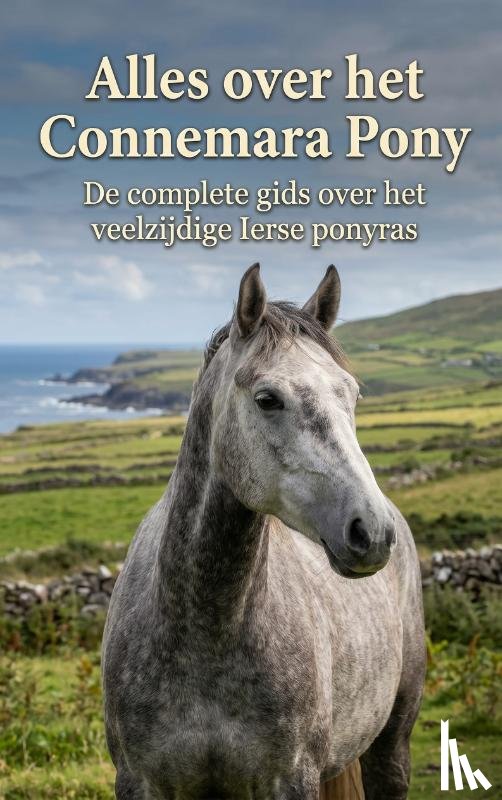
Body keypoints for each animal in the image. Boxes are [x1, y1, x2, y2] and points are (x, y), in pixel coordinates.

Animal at [102, 264, 426, 800]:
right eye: (267, 399)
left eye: (352, 394)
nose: (372, 531)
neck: (205, 632)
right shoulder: (139, 779)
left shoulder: (290, 777)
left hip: (393, 736)